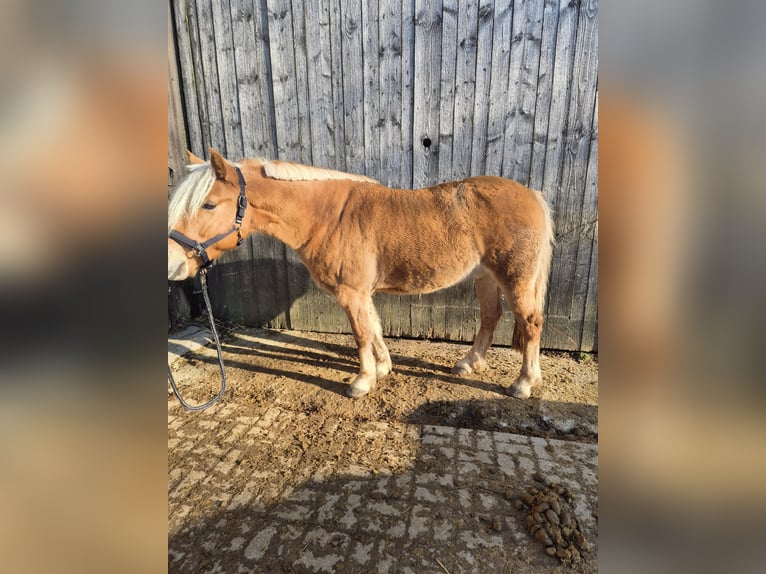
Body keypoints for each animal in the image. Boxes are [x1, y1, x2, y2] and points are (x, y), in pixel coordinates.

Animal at [168, 148, 556, 400]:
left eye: (208, 204)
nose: (173, 265)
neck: (328, 216)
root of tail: (532, 195)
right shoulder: (361, 292)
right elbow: (374, 328)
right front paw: (383, 368)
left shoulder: (351, 291)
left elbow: (360, 334)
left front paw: (362, 381)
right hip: (485, 276)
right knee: (491, 317)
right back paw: (469, 363)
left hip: (514, 278)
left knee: (531, 322)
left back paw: (524, 383)